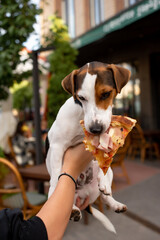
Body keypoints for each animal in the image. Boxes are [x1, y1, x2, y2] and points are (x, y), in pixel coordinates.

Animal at [45, 61, 131, 232]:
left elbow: (102, 159)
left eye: (106, 94)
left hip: (108, 176)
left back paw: (114, 202)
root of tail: (83, 194)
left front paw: (103, 180)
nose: (95, 129)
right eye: (81, 98)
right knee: (59, 193)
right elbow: (57, 175)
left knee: (105, 196)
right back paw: (72, 209)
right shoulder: (57, 144)